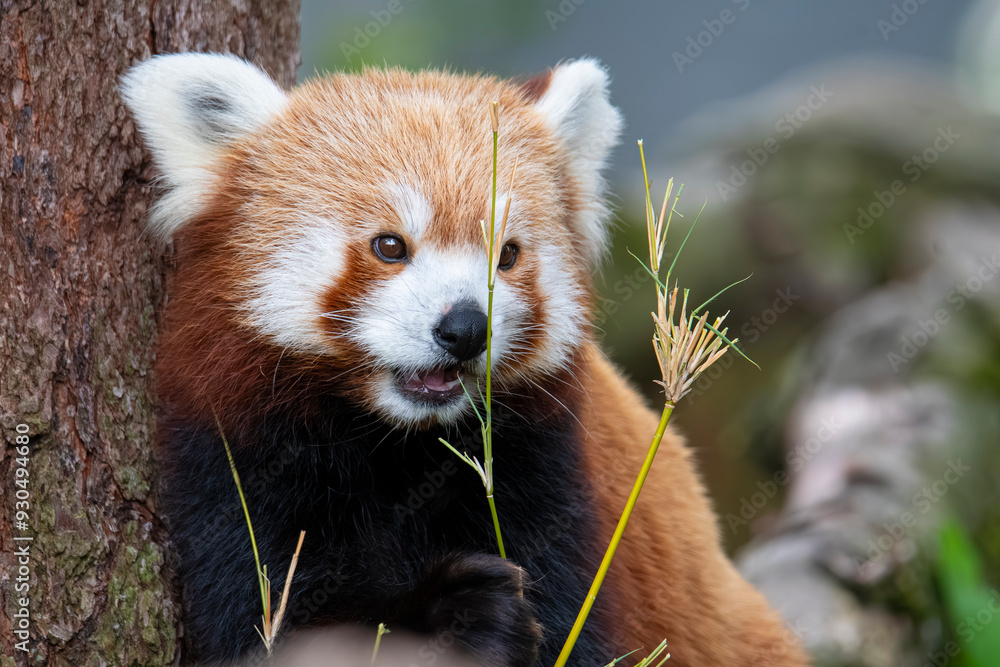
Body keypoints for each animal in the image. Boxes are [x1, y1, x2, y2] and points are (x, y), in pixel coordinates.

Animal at [120, 53, 807, 667]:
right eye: (389, 246)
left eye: (507, 255)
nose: (466, 328)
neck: (397, 448)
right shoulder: (236, 461)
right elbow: (265, 618)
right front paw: (460, 618)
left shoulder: (554, 477)